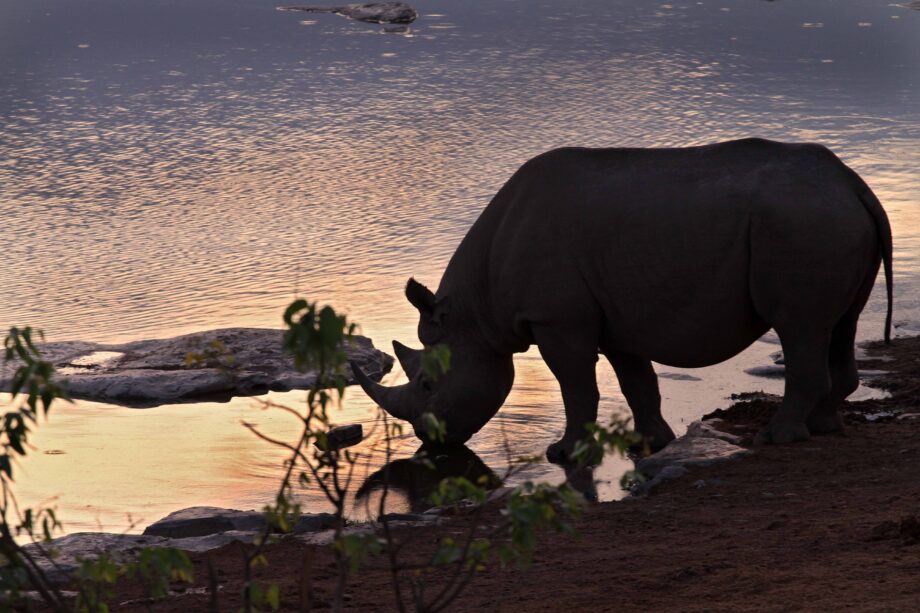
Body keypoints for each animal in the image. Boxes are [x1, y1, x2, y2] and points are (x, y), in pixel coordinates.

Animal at [352, 138, 893, 463]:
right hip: (824, 219)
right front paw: (650, 443)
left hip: (804, 221)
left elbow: (576, 385)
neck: (475, 315)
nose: (429, 444)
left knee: (799, 327)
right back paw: (824, 426)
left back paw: (776, 438)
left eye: (427, 384)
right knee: (839, 323)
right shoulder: (614, 316)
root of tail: (853, 184)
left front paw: (564, 453)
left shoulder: (558, 319)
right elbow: (637, 381)